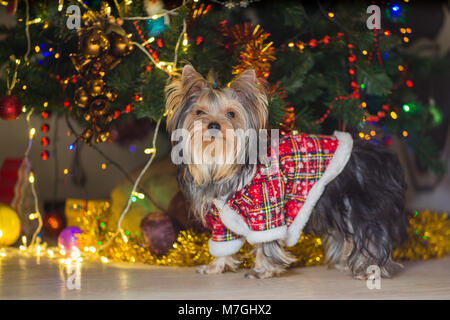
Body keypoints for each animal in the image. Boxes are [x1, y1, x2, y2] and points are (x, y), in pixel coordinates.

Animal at [164, 64, 408, 278]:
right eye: (199, 112)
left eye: (231, 114)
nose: (213, 125)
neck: (220, 162)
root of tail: (378, 154)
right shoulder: (221, 216)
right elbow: (223, 242)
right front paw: (216, 267)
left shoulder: (267, 205)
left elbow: (266, 240)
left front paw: (263, 271)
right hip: (344, 206)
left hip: (364, 206)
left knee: (372, 235)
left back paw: (371, 269)